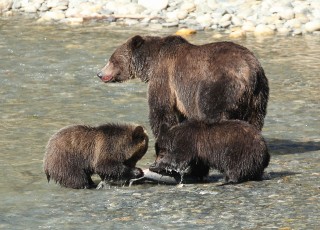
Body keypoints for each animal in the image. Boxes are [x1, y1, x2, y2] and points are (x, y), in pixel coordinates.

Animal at [96, 35, 268, 137]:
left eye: (112, 59)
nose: (99, 73)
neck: (150, 63)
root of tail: (250, 71)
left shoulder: (164, 76)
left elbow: (161, 109)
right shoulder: (181, 93)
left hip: (219, 86)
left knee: (213, 114)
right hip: (258, 98)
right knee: (254, 121)